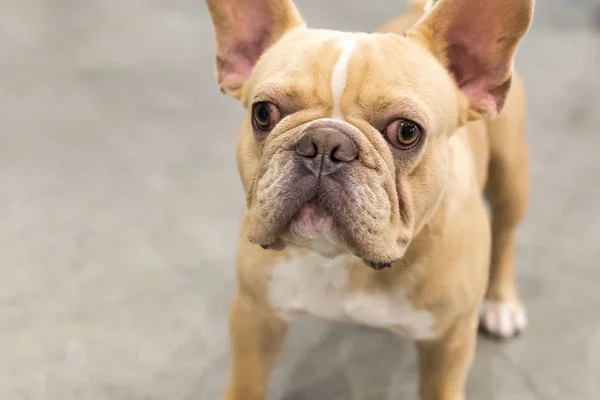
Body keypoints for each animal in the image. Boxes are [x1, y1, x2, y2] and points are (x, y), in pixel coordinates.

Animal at [205, 0, 536, 398]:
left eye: (407, 131)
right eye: (263, 112)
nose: (324, 144)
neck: (344, 260)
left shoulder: (449, 341)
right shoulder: (254, 316)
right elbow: (246, 385)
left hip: (510, 177)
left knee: (505, 234)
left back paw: (501, 302)